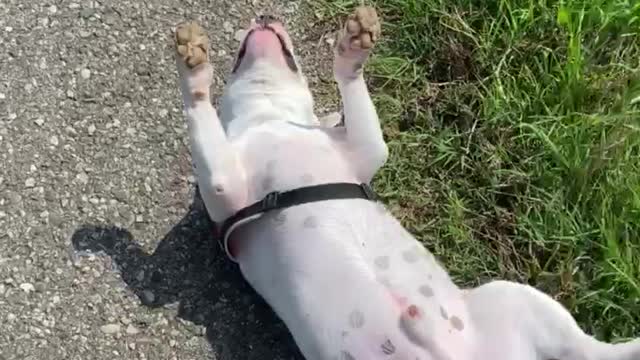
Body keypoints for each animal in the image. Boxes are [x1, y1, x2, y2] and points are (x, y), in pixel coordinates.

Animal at [171, 5, 640, 360]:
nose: (266, 14)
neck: (271, 117)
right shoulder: (224, 188)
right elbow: (201, 113)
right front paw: (192, 67)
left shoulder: (365, 150)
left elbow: (354, 94)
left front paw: (354, 46)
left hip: (516, 299)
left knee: (592, 351)